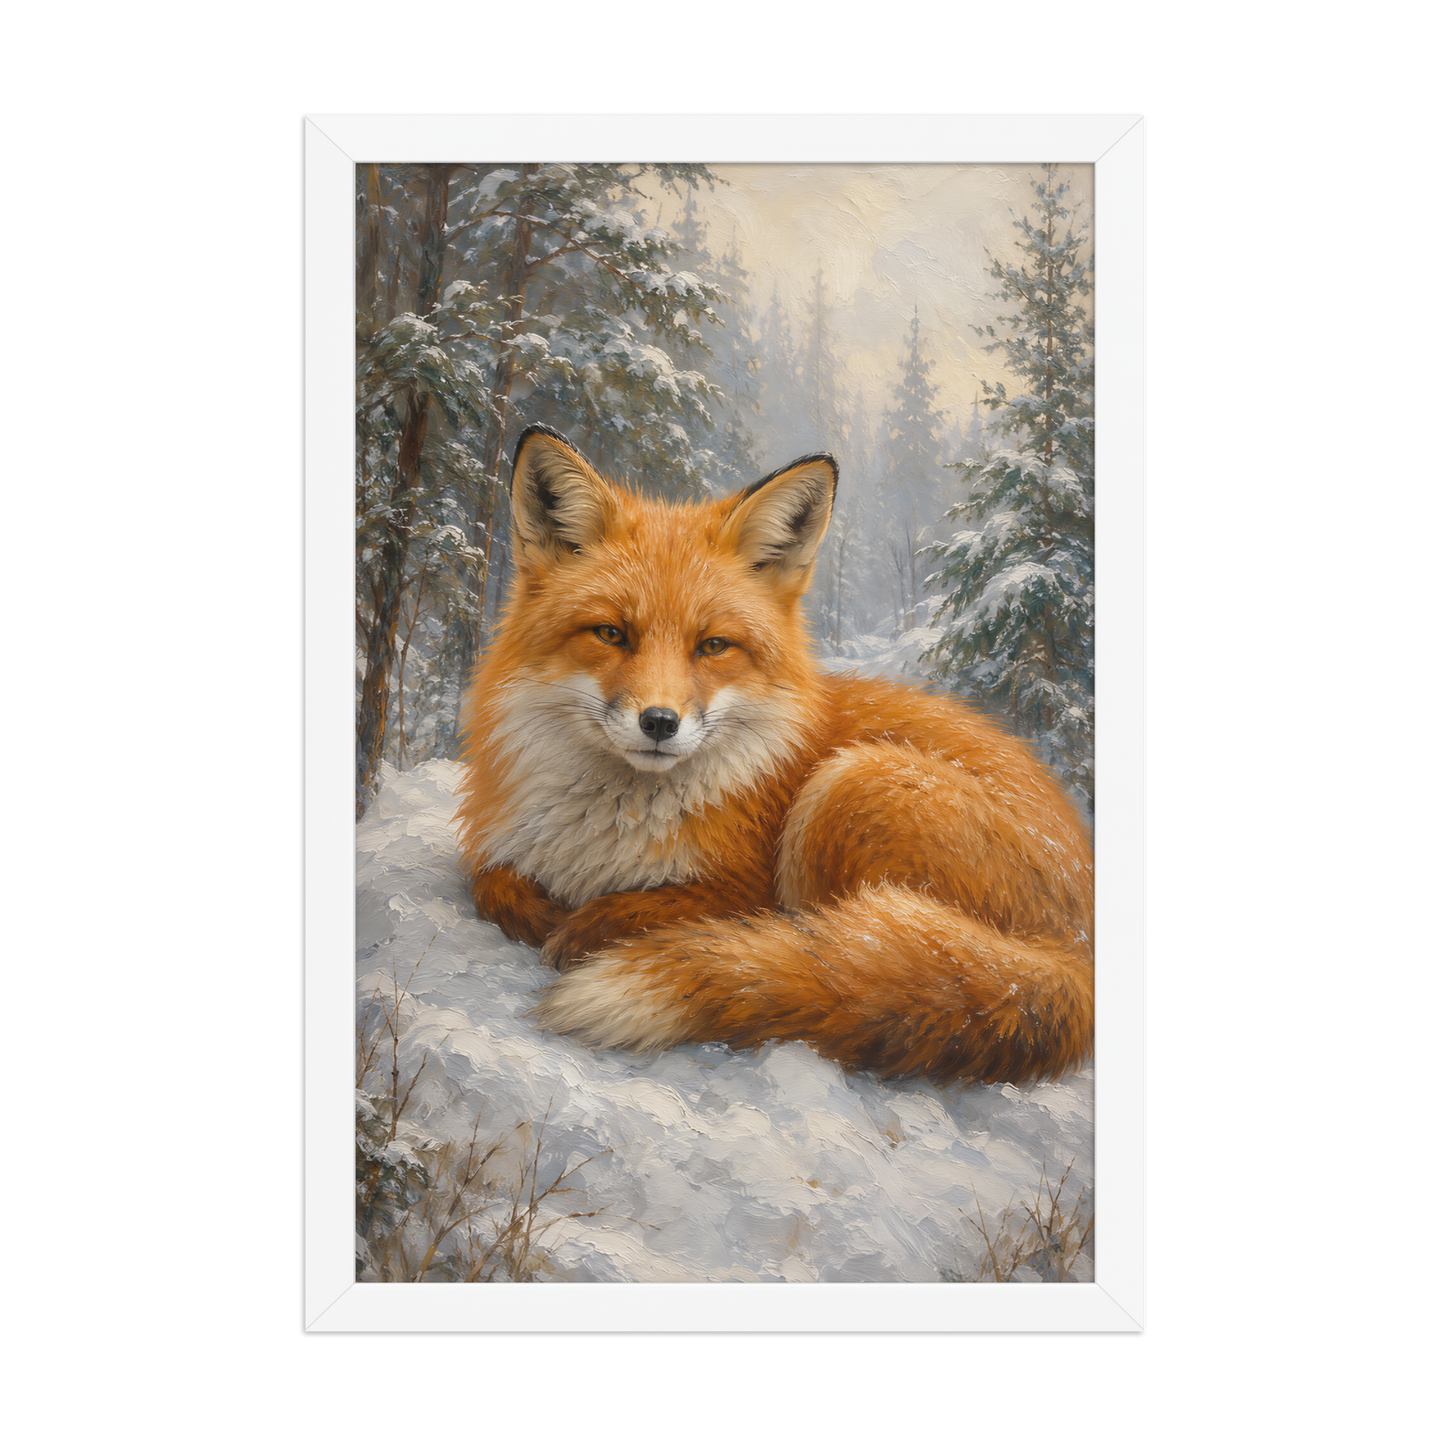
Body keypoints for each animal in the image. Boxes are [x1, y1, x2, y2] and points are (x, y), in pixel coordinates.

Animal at [453, 424, 1093, 1086]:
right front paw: (540, 912)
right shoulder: (502, 848)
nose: (659, 723)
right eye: (611, 634)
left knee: (838, 952)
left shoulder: (744, 887)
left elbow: (661, 907)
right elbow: (490, 882)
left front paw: (588, 927)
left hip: (850, 784)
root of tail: (1078, 951)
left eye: (713, 646)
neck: (604, 833)